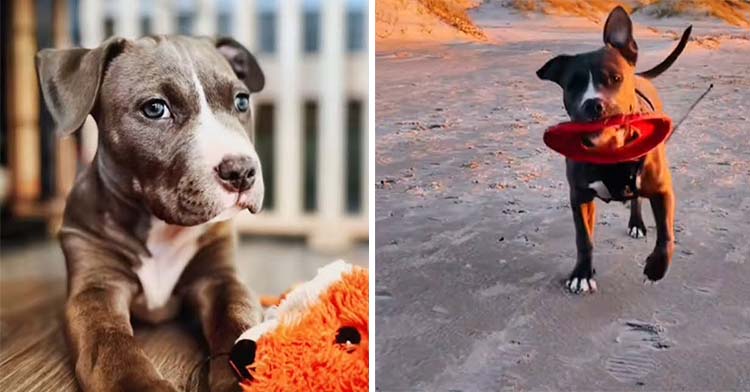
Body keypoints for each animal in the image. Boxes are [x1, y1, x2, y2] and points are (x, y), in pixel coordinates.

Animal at [37, 35, 270, 390]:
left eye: (241, 101)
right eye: (155, 108)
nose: (242, 171)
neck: (160, 228)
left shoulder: (221, 279)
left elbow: (238, 322)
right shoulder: (95, 289)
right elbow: (109, 341)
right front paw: (137, 382)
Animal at [540, 6, 692, 294]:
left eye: (615, 78)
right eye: (572, 85)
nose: (593, 104)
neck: (611, 149)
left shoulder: (662, 190)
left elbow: (666, 235)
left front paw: (656, 269)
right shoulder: (579, 196)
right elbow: (583, 238)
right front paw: (582, 274)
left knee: (637, 201)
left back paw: (637, 224)